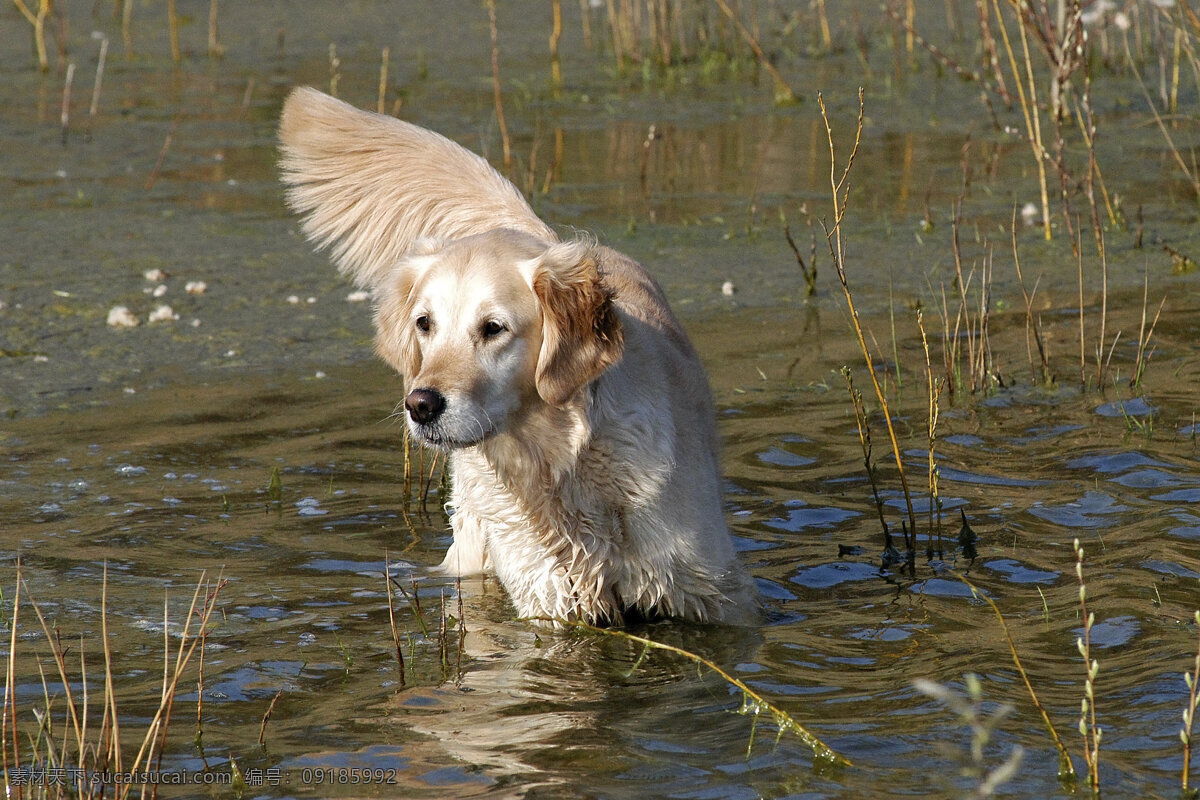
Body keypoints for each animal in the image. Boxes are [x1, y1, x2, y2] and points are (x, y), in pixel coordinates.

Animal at [276, 87, 753, 623]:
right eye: (425, 324)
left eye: (493, 328)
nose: (420, 405)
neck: (556, 463)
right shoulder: (550, 599)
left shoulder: (718, 593)